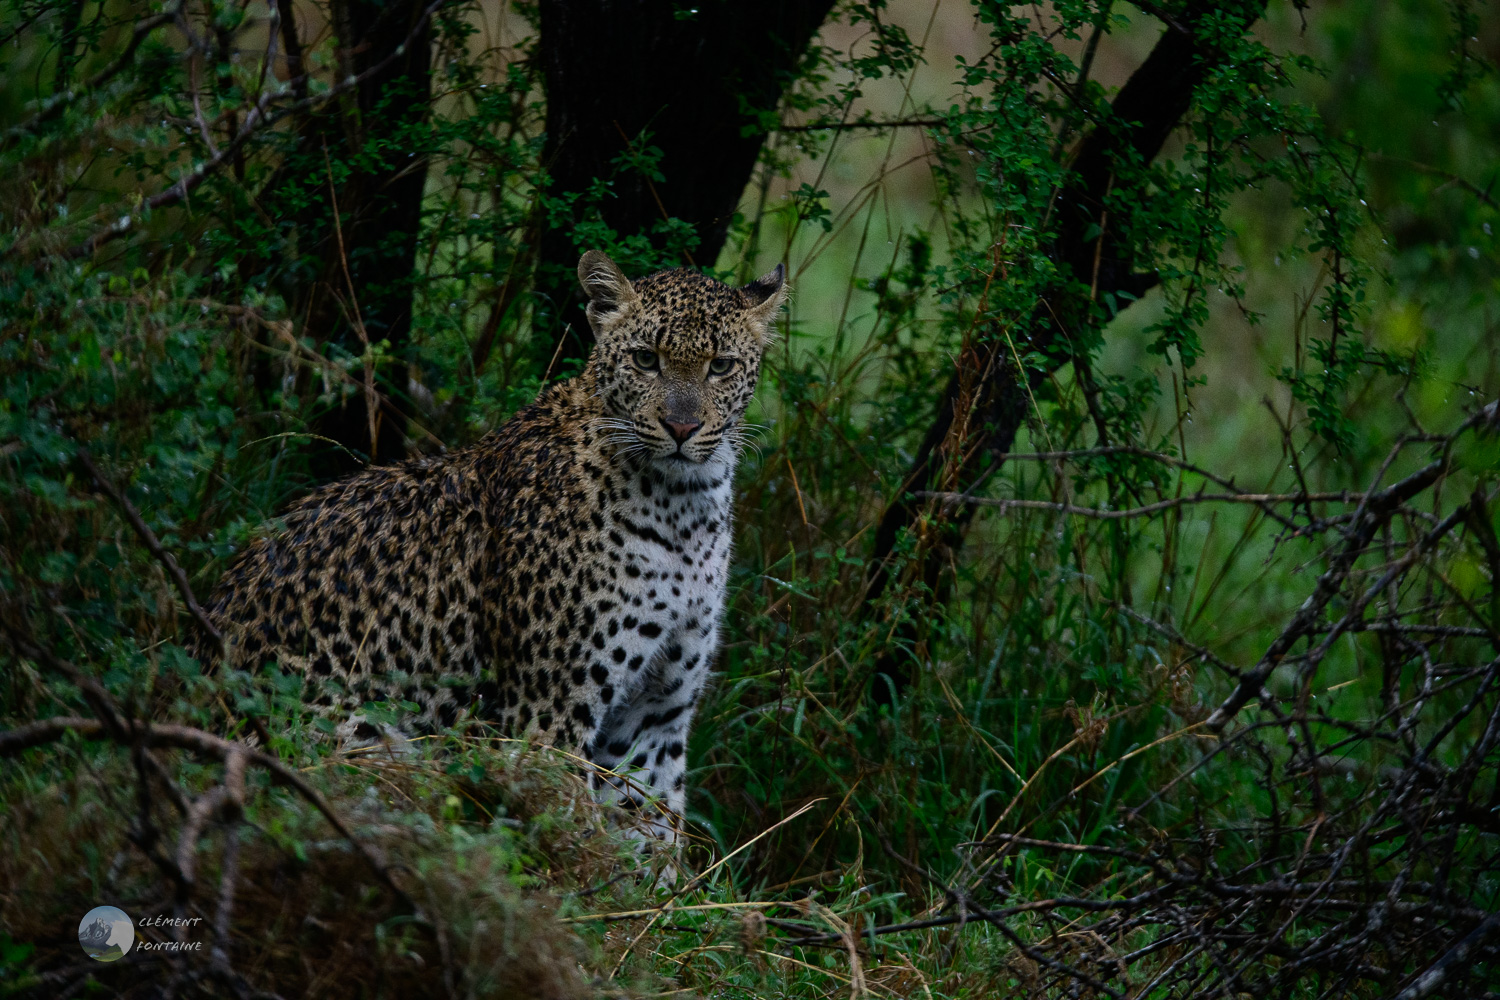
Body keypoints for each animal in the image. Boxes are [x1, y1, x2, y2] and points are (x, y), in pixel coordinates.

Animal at [202, 248, 786, 839]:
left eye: (721, 367)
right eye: (646, 360)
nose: (682, 428)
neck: (685, 513)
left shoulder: (656, 716)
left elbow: (652, 826)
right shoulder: (548, 714)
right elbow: (567, 833)